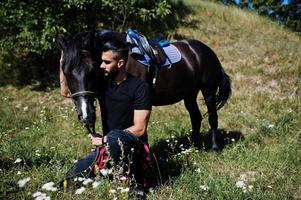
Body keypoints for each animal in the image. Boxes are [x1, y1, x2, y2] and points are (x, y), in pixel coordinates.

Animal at [56, 30, 230, 151]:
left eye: (92, 69)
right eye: (66, 72)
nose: (85, 115)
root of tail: (207, 51)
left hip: (208, 91)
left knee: (212, 117)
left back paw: (214, 147)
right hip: (189, 95)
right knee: (196, 117)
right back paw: (192, 147)